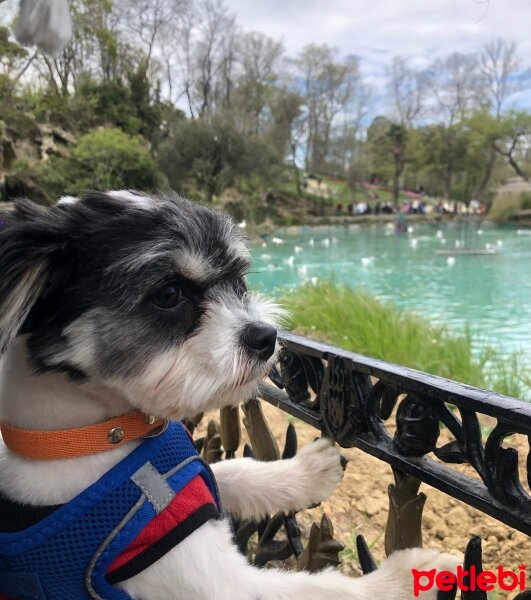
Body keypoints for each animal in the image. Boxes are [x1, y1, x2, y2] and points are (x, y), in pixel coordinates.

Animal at [0, 191, 460, 596]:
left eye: (238, 279)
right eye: (168, 294)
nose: (266, 337)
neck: (98, 436)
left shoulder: (184, 482)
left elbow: (228, 470)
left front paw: (304, 472)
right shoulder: (188, 565)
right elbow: (324, 589)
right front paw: (410, 577)